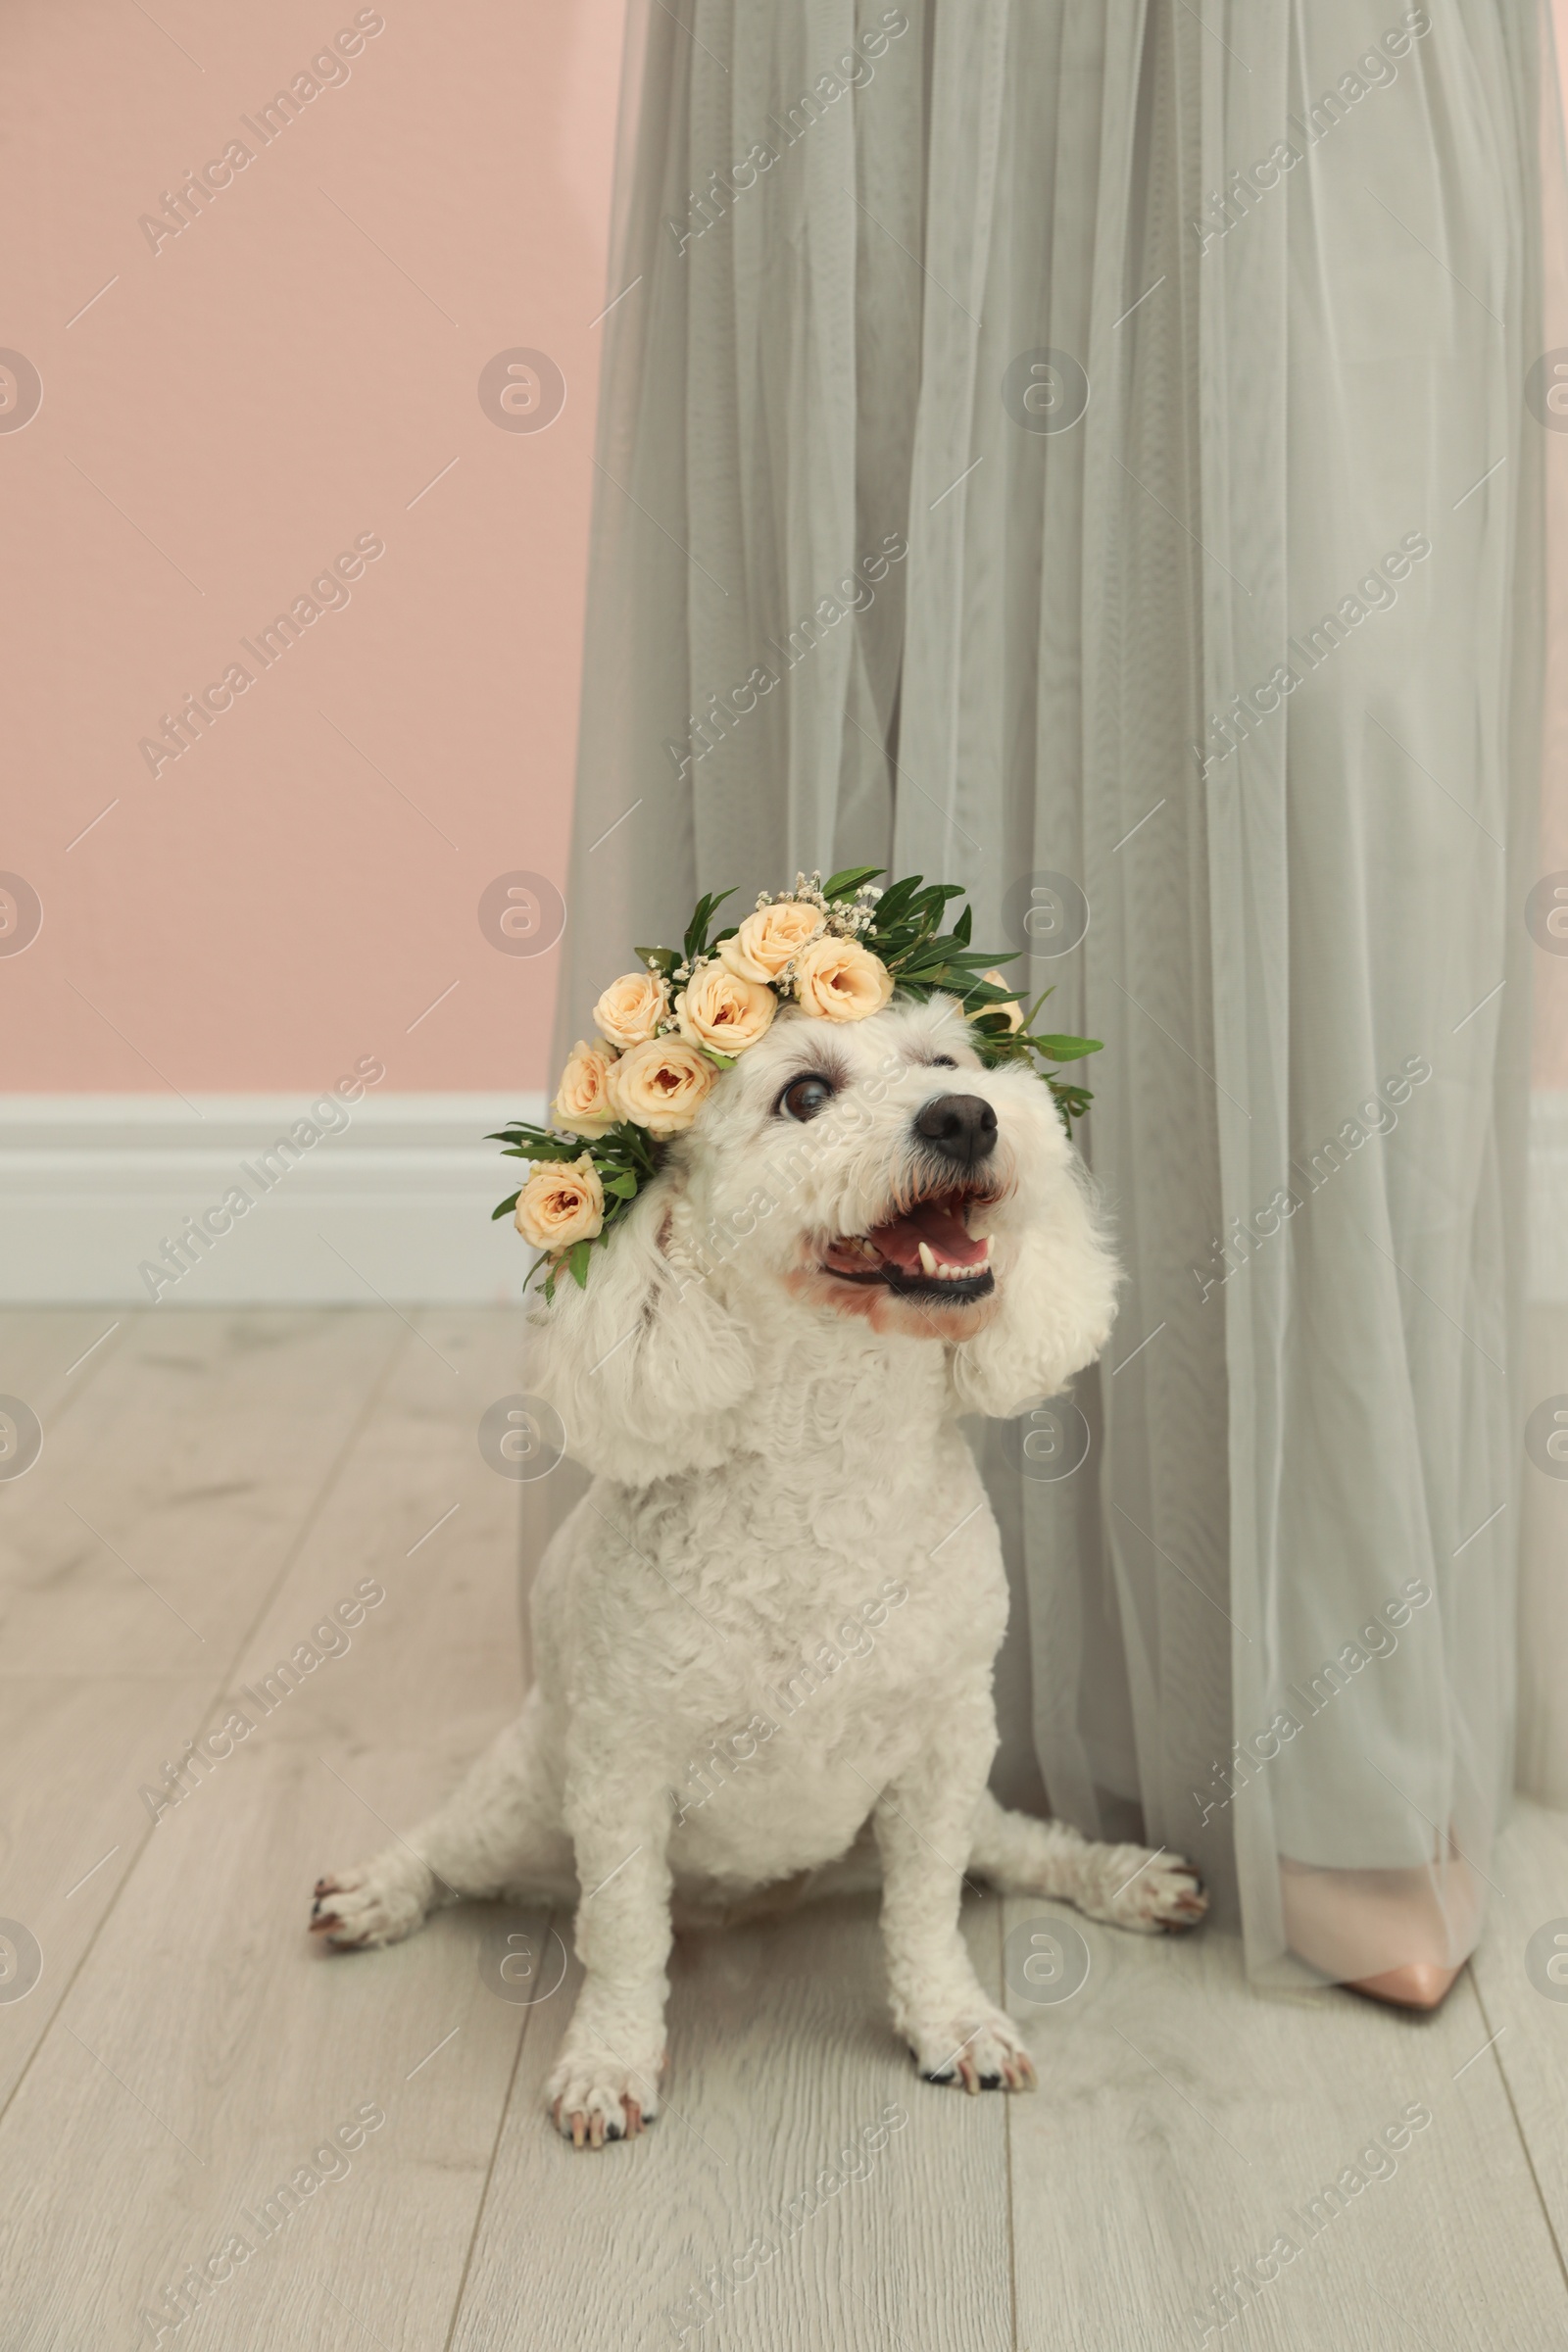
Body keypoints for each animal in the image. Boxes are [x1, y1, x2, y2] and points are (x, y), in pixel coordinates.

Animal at [313, 992, 1212, 2154]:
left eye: (948, 1060)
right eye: (805, 1094)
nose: (966, 1117)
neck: (831, 1461)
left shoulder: (945, 1741)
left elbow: (926, 1912)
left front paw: (952, 2021)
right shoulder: (619, 1771)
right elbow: (624, 1937)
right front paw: (607, 2065)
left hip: (937, 1797)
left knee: (1015, 1845)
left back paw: (1124, 1876)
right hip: (525, 1802)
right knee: (444, 1848)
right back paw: (375, 1893)